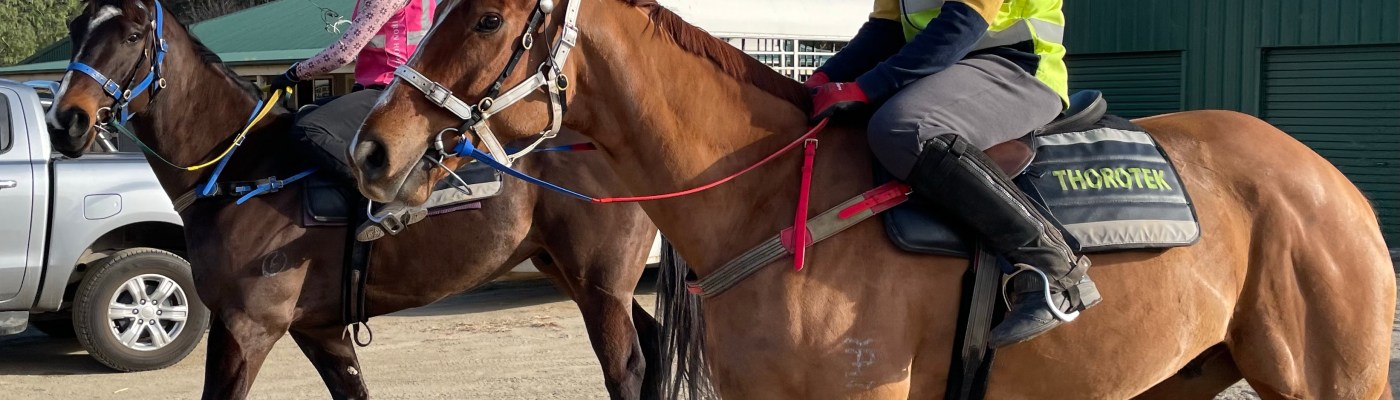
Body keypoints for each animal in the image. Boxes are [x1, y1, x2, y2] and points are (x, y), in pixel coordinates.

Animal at [46, 1, 662, 399]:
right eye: (77, 27)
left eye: (131, 35)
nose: (65, 121)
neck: (242, 170)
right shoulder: (319, 331)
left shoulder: (246, 327)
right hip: (573, 274)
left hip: (601, 285)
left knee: (628, 370)